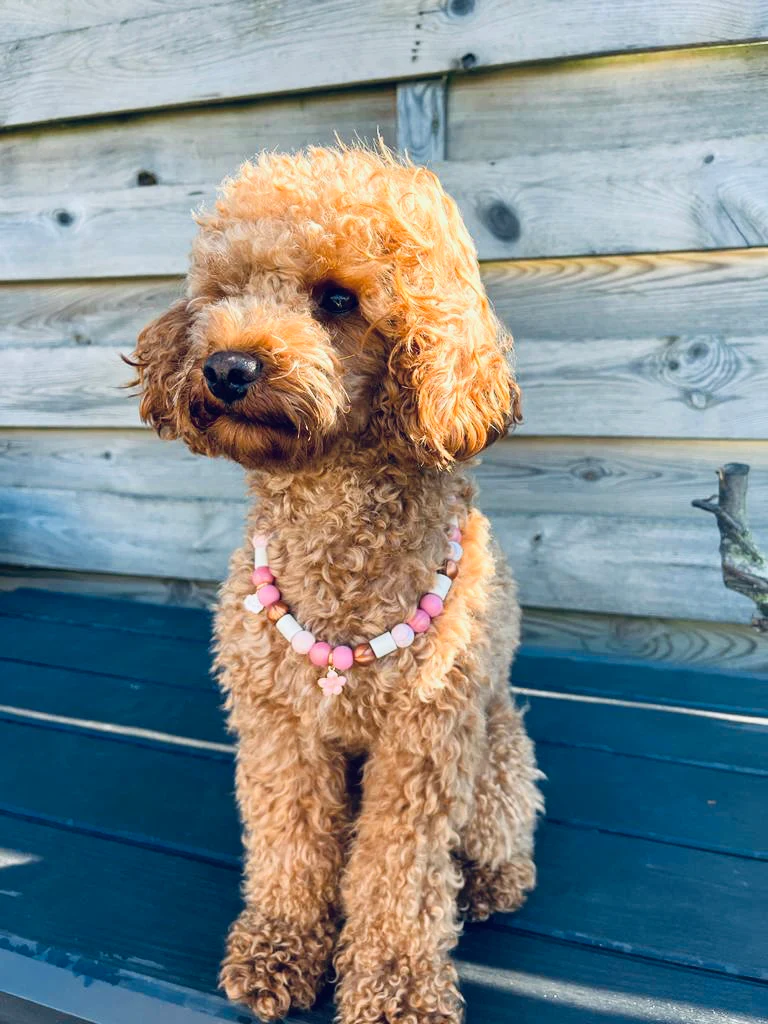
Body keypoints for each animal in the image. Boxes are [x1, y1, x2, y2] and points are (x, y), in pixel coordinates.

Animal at [131, 144, 543, 1024]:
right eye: (226, 292)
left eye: (338, 300)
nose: (227, 366)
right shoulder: (281, 726)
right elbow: (290, 840)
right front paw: (280, 946)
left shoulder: (423, 747)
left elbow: (399, 876)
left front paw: (395, 986)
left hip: (496, 746)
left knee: (501, 827)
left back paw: (491, 881)